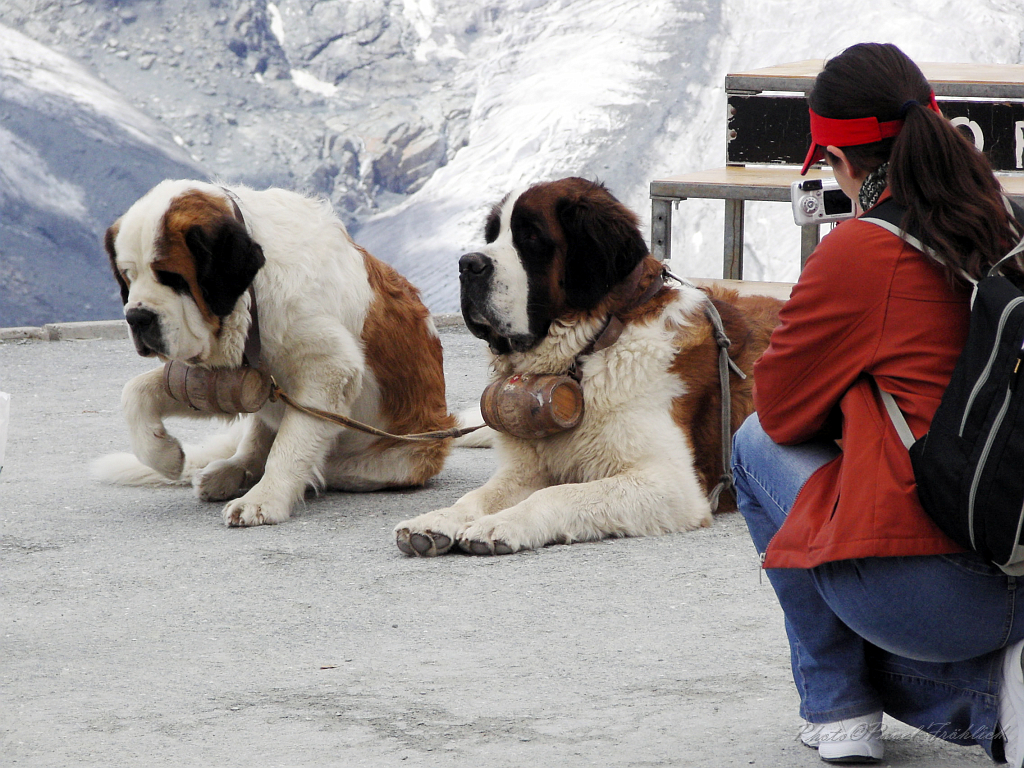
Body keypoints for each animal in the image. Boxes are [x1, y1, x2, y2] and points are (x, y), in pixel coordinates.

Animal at [96, 181, 456, 528]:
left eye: (171, 277)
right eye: (127, 277)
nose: (137, 317)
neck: (252, 294)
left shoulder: (328, 370)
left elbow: (289, 445)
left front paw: (263, 500)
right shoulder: (221, 378)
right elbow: (136, 391)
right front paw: (164, 455)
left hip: (396, 459)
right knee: (256, 439)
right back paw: (231, 471)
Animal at [395, 177, 778, 557]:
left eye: (530, 235)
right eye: (491, 235)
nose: (467, 264)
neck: (591, 348)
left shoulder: (671, 482)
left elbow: (555, 494)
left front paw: (498, 524)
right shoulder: (527, 469)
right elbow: (481, 495)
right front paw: (439, 519)